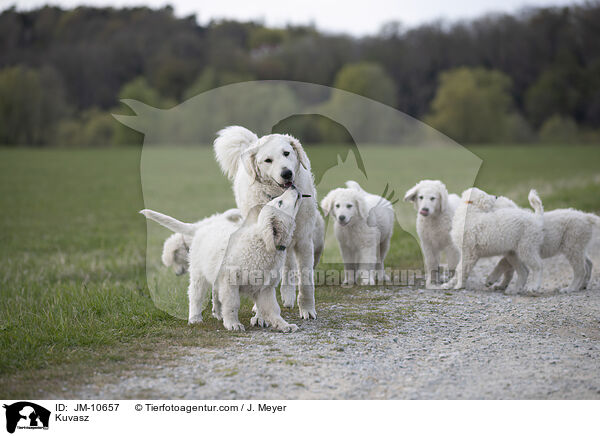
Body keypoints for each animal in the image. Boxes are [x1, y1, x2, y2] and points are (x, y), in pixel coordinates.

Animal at [142, 189, 304, 332]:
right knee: (195, 294)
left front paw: (283, 325)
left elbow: (272, 309)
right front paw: (233, 324)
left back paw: (218, 313)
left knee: (214, 292)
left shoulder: (265, 288)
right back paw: (195, 318)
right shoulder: (230, 281)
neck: (260, 243)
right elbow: (232, 304)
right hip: (199, 273)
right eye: (280, 202)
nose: (293, 186)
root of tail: (203, 226)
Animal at [214, 124, 318, 318]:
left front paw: (307, 309)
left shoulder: (303, 240)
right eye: (268, 160)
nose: (286, 173)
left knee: (288, 265)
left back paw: (288, 295)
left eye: (286, 153)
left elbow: (306, 281)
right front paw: (260, 312)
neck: (280, 197)